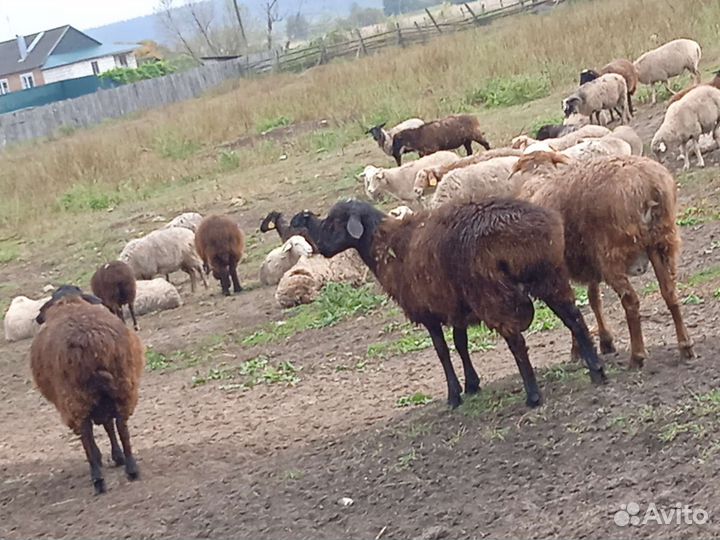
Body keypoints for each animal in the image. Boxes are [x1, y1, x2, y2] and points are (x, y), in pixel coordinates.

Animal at [30, 290, 144, 494]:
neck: (68, 301)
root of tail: (90, 342)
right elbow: (109, 426)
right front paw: (118, 456)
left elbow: (101, 430)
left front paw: (110, 458)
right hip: (123, 386)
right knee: (122, 426)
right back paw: (131, 468)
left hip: (74, 397)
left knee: (85, 434)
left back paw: (98, 478)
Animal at [290, 200, 605, 408]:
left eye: (333, 223)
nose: (319, 248)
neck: (384, 246)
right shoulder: (454, 305)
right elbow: (461, 344)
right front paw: (472, 384)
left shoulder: (428, 311)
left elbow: (442, 352)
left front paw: (454, 395)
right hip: (550, 276)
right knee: (574, 319)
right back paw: (596, 370)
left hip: (491, 292)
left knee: (517, 341)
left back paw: (533, 396)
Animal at [514, 151, 695, 367]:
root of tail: (647, 186)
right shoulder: (590, 261)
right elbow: (594, 299)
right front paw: (605, 342)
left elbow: (572, 309)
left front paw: (578, 350)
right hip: (660, 242)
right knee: (669, 292)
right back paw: (685, 346)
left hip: (611, 252)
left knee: (631, 301)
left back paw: (637, 356)